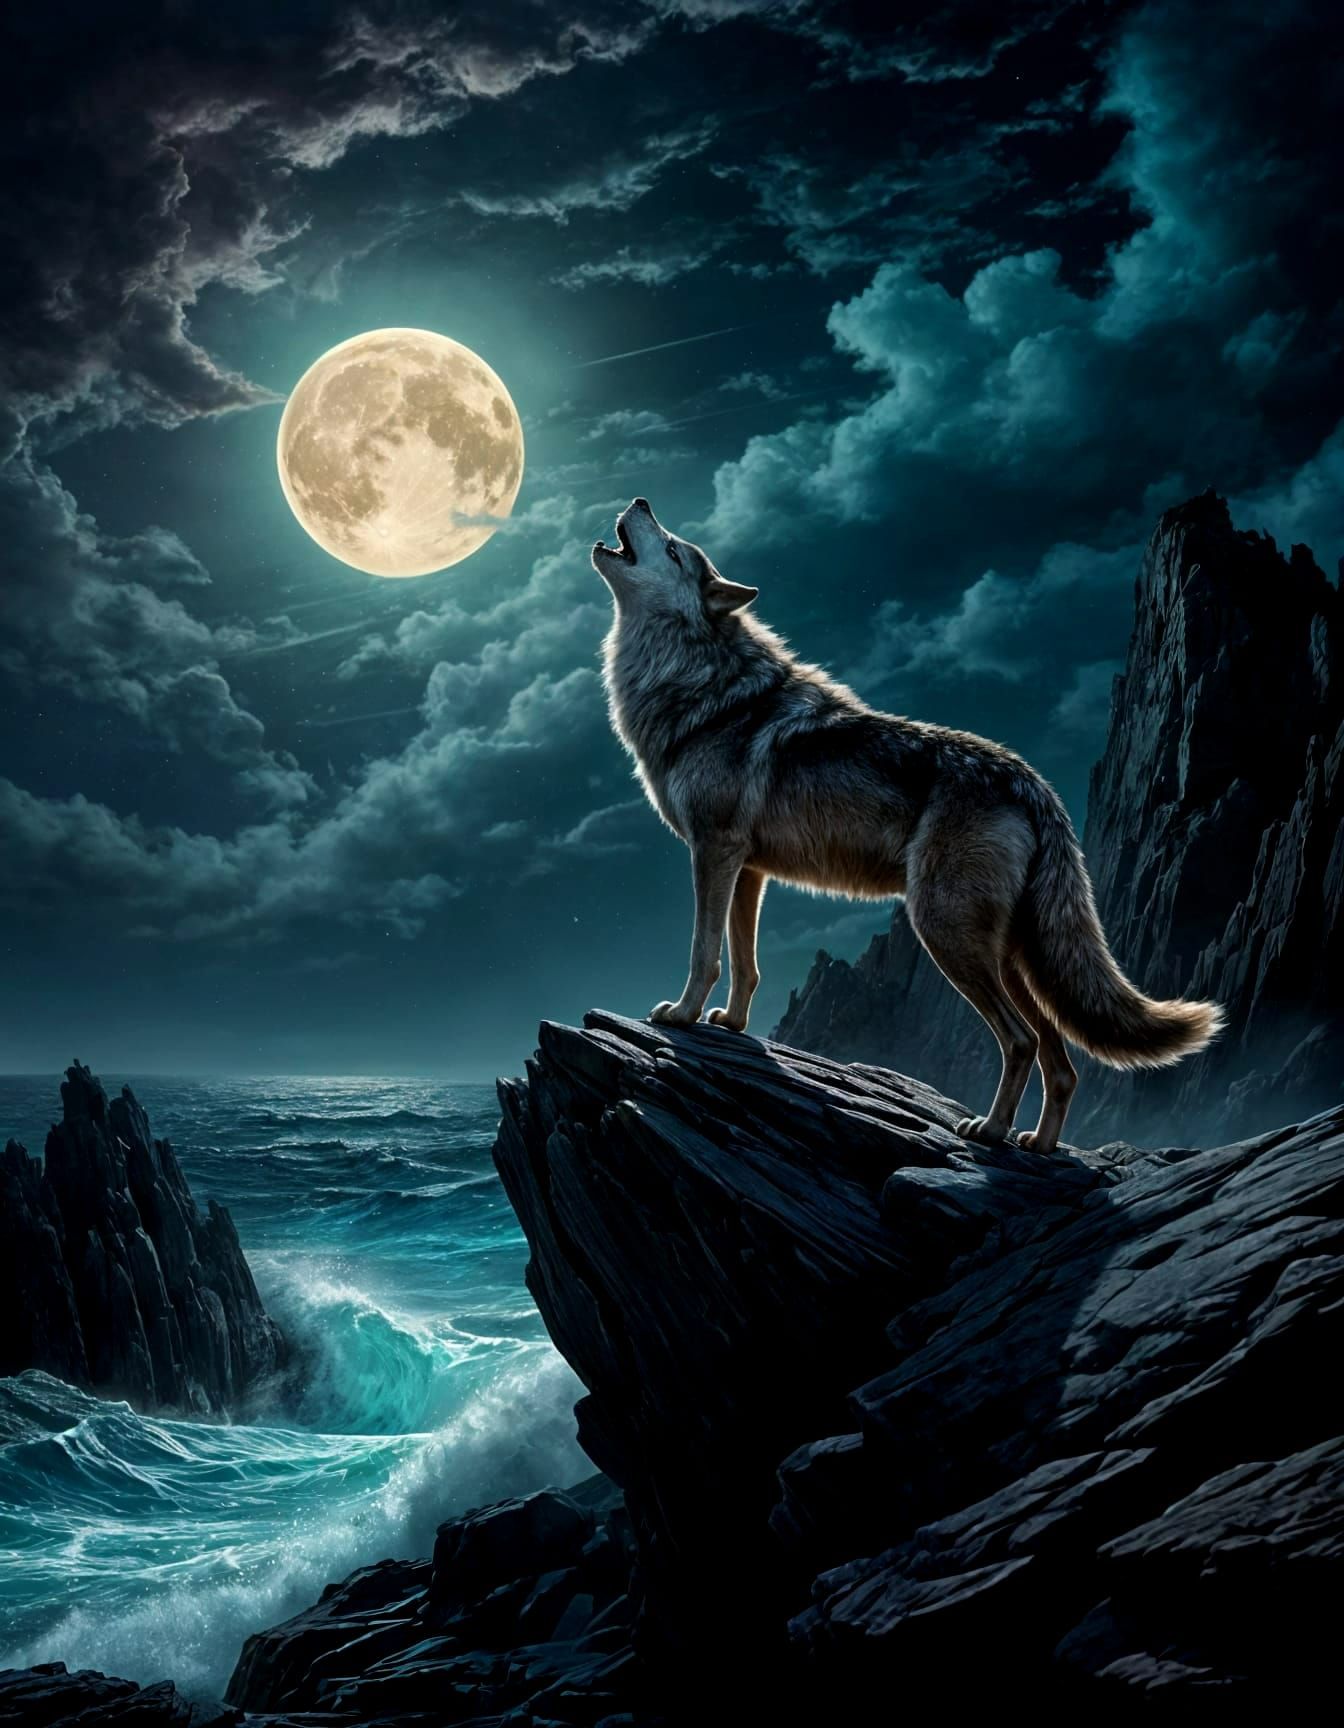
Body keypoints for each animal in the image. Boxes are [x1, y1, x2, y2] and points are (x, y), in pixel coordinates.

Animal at [592, 498, 1223, 1155]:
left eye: (672, 549)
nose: (641, 502)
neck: (699, 685)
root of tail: (1035, 786)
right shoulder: (749, 869)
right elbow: (745, 963)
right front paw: (733, 1026)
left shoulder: (713, 850)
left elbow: (704, 952)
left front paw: (682, 1015)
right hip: (1007, 956)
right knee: (1063, 1060)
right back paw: (1038, 1144)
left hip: (945, 933)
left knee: (1021, 1039)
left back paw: (990, 1131)